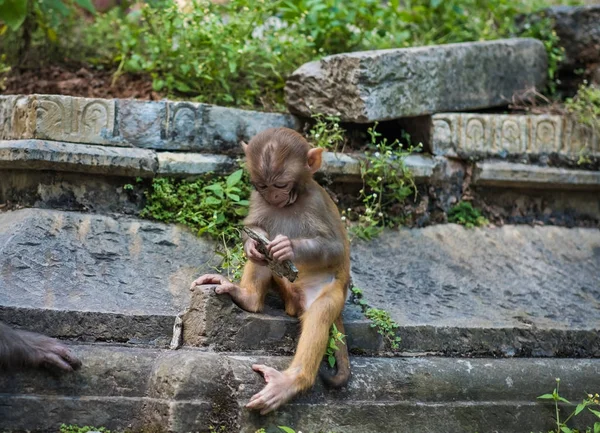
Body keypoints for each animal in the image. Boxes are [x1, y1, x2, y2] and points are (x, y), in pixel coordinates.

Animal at [191, 126, 352, 414]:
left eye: (280, 185)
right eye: (263, 185)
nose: (274, 197)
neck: (291, 202)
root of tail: (294, 301)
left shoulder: (316, 204)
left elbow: (334, 249)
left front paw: (288, 248)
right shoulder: (257, 199)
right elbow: (254, 229)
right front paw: (253, 246)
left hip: (332, 293)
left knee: (320, 314)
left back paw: (291, 381)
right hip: (284, 288)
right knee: (263, 259)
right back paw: (247, 296)